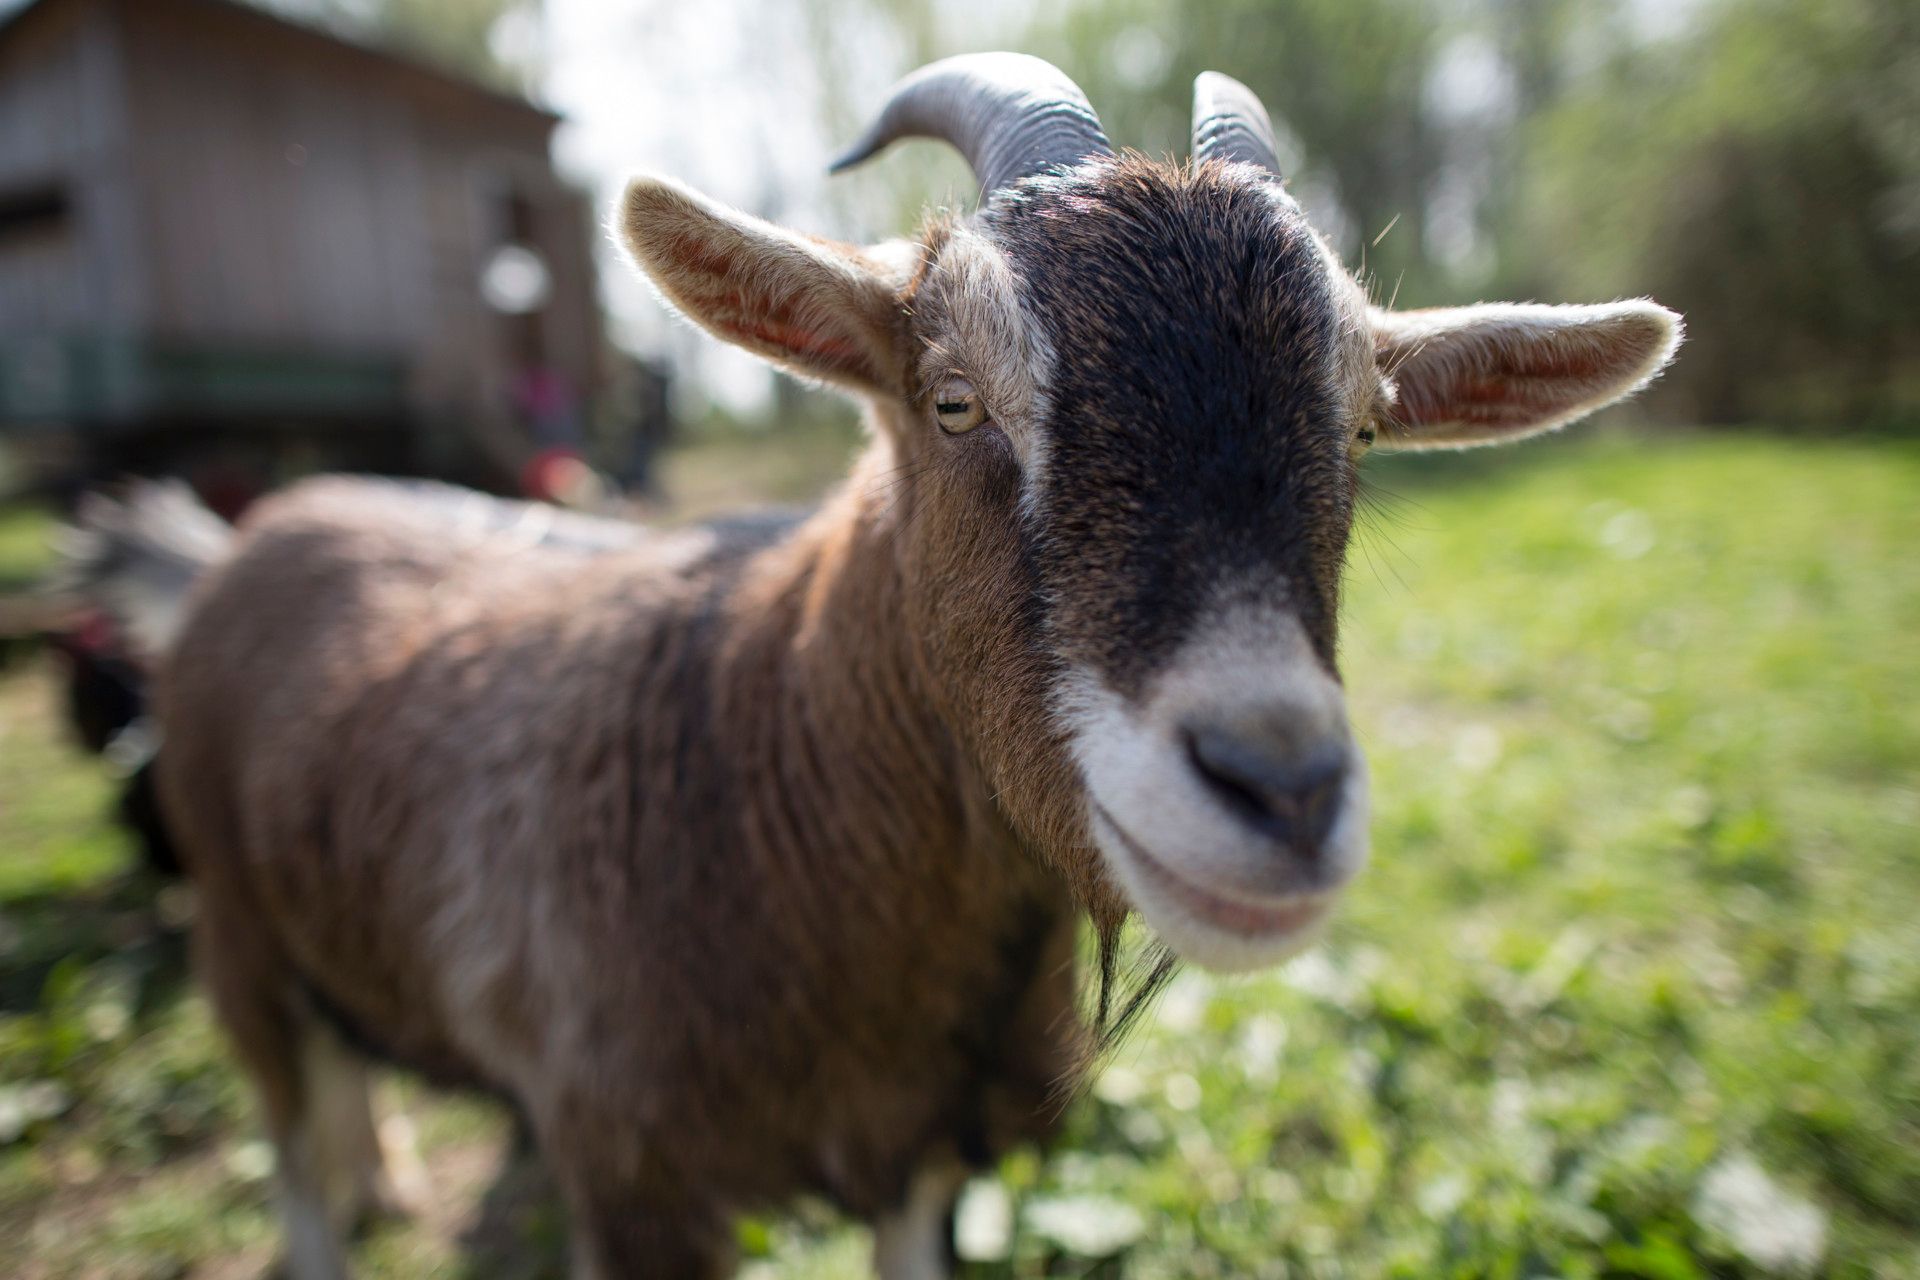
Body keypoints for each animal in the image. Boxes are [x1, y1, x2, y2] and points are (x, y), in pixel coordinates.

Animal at [71, 52, 1681, 1280]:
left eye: (1357, 422)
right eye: (953, 398)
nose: (1278, 790)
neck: (746, 756)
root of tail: (238, 544)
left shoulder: (925, 1157)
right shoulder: (637, 1182)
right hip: (233, 936)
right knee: (291, 1148)